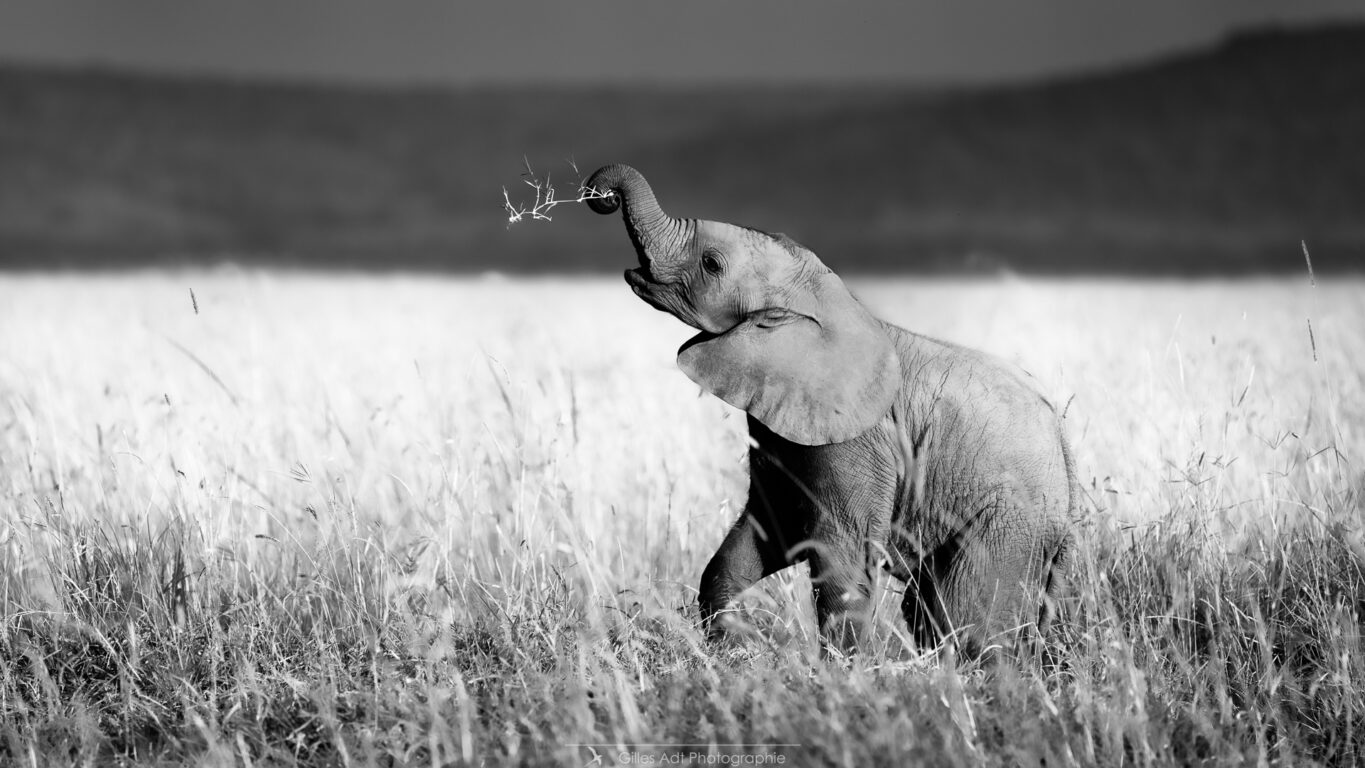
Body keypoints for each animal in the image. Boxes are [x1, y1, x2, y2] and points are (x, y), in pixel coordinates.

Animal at [586, 163, 1075, 660]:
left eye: (712, 264)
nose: (601, 195)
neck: (824, 299)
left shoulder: (855, 440)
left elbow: (838, 553)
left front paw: (840, 670)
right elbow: (766, 531)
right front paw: (731, 649)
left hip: (1009, 520)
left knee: (965, 620)